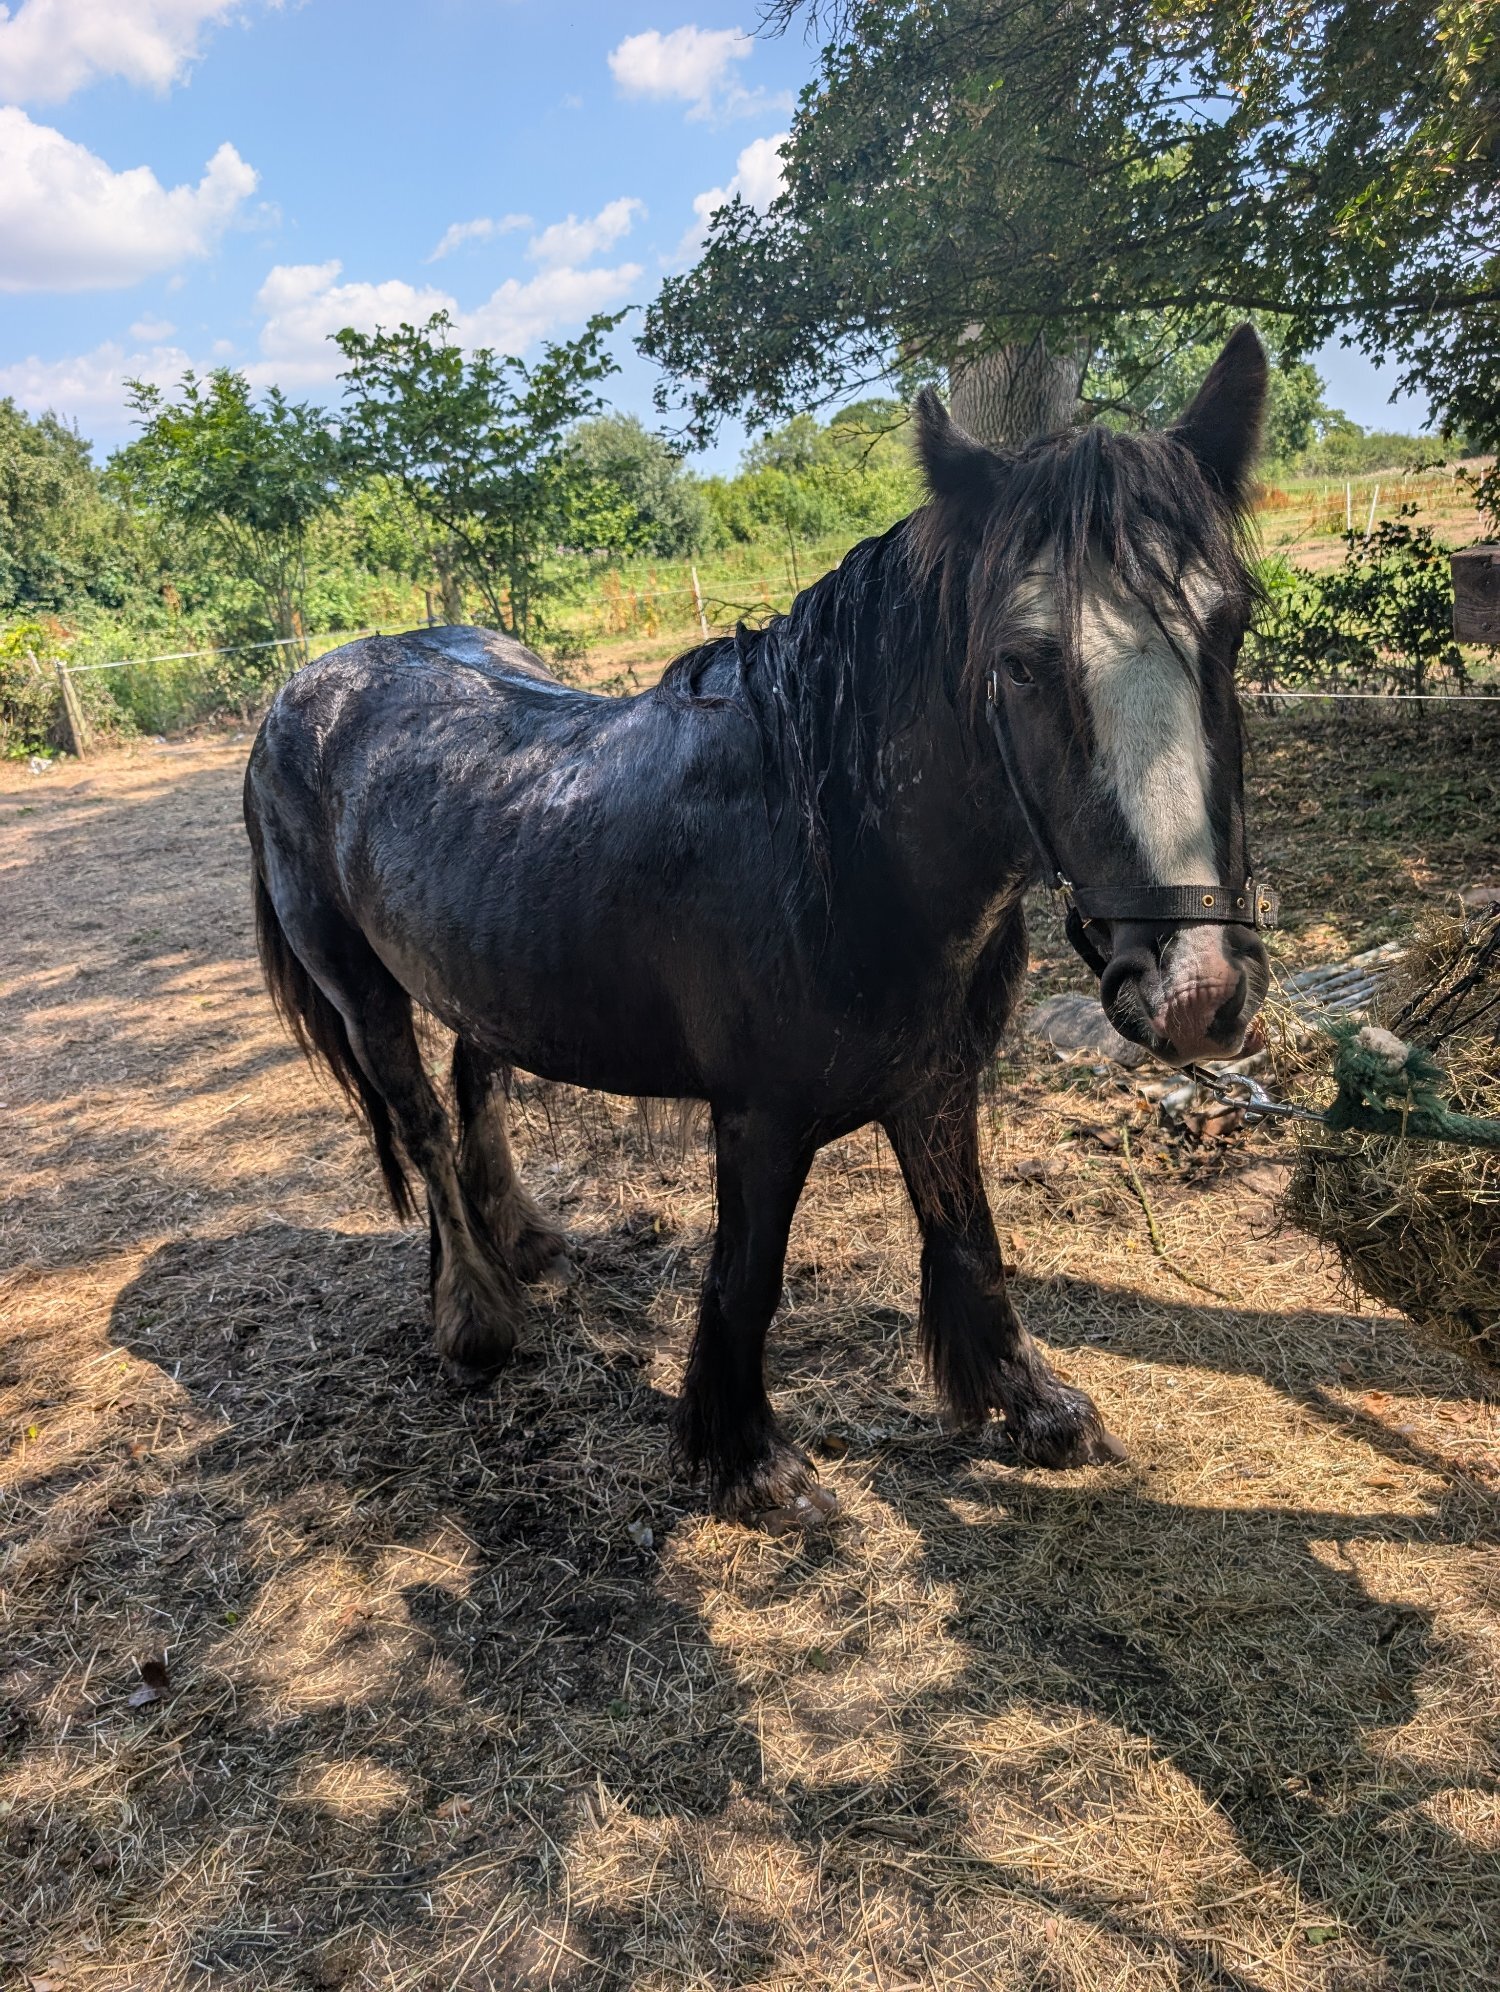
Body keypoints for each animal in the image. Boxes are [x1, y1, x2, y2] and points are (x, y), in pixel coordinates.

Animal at [244, 325, 1274, 1527]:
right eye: (1022, 662)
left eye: (1232, 626)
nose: (1198, 991)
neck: (833, 853)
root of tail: (302, 690)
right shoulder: (759, 1119)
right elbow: (748, 1278)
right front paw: (745, 1460)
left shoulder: (937, 1084)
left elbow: (969, 1237)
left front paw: (1028, 1404)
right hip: (362, 990)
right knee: (419, 1126)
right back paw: (475, 1318)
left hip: (478, 966)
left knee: (477, 1079)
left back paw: (528, 1244)